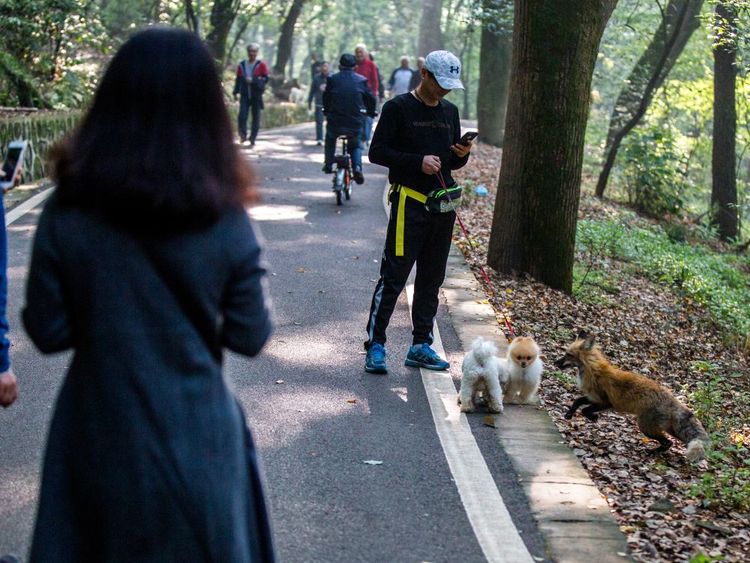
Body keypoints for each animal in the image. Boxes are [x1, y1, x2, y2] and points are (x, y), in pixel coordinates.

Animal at [560, 332, 712, 460]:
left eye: (568, 354)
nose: (556, 362)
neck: (592, 370)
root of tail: (674, 401)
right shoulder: (593, 397)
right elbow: (577, 401)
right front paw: (570, 414)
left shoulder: (605, 402)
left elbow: (585, 410)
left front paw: (593, 417)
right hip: (670, 430)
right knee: (672, 442)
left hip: (645, 427)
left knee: (667, 443)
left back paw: (652, 452)